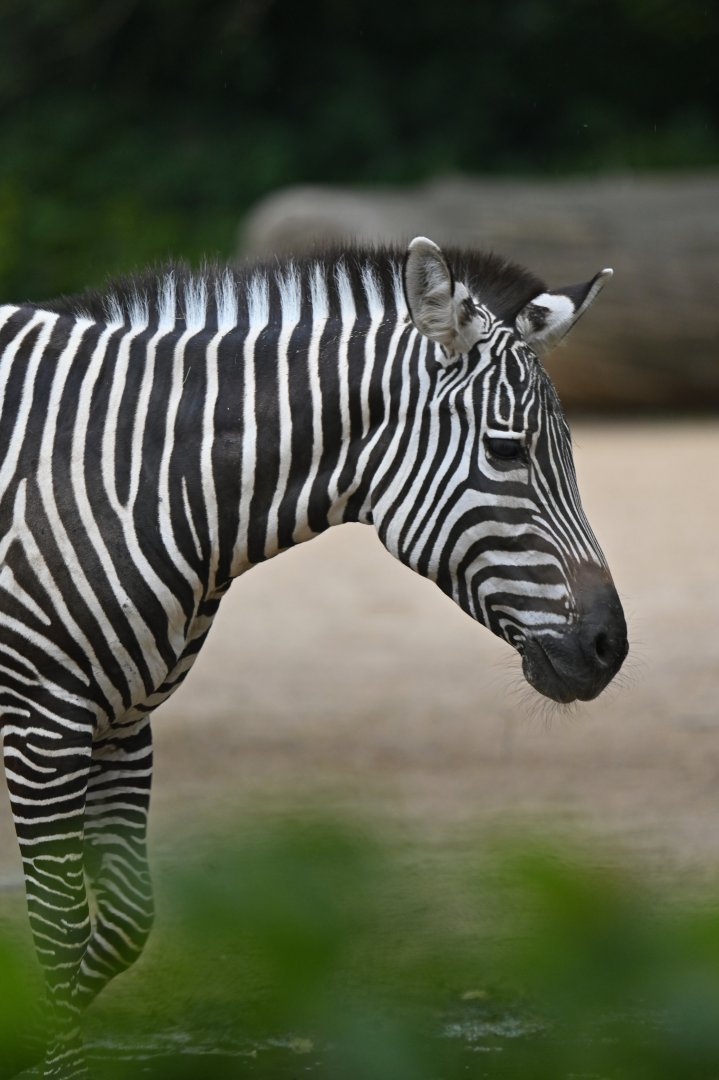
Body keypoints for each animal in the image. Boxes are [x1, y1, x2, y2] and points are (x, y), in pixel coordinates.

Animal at [0, 236, 627, 1077]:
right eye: (505, 449)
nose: (608, 647)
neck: (128, 477)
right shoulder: (43, 726)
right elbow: (62, 936)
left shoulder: (124, 722)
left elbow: (126, 922)